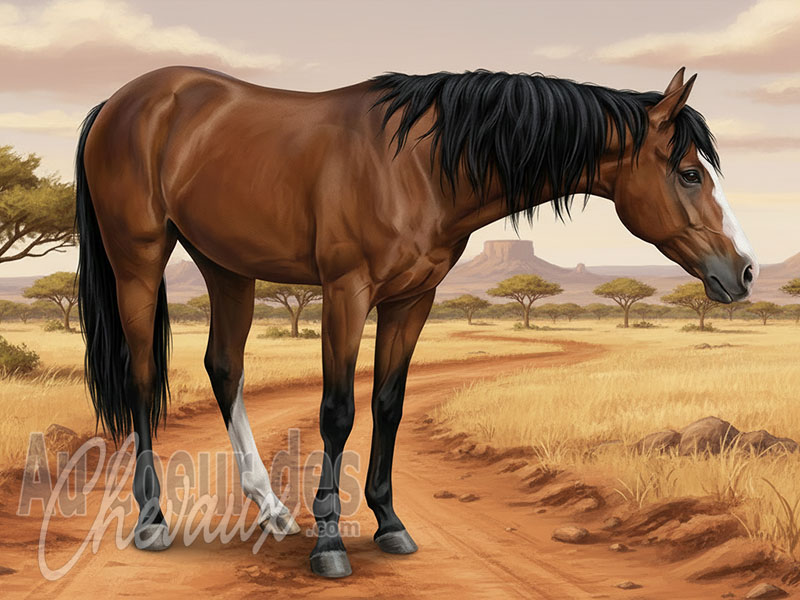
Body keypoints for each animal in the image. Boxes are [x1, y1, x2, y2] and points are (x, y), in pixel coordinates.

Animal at [75, 65, 757, 578]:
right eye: (689, 173)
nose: (745, 272)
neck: (419, 166)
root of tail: (122, 101)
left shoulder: (413, 300)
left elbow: (389, 403)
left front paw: (389, 524)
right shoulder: (347, 293)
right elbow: (338, 411)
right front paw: (330, 542)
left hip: (225, 264)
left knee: (224, 367)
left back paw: (271, 509)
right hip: (138, 260)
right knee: (142, 377)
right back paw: (153, 520)